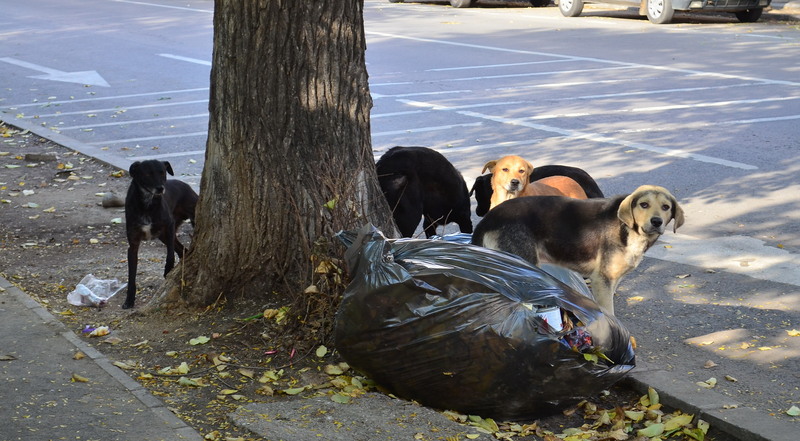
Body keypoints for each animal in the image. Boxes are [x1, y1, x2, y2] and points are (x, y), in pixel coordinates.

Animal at [123, 160, 198, 309]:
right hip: (164, 236)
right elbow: (131, 276)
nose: (160, 188)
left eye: (162, 172)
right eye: (147, 174)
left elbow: (169, 255)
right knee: (183, 250)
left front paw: (168, 270)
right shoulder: (133, 245)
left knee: (178, 250)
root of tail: (186, 185)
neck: (147, 204)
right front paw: (129, 300)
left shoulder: (169, 226)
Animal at [471, 185, 684, 315]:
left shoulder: (611, 281)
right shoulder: (602, 281)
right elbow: (609, 312)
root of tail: (487, 219)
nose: (656, 222)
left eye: (666, 207)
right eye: (644, 205)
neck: (628, 228)